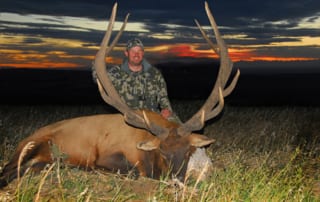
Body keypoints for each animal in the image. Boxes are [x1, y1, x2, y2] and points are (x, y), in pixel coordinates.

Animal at [0, 1, 238, 188]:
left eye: (188, 152)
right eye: (162, 152)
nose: (176, 181)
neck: (144, 147)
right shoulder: (107, 156)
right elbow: (129, 171)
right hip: (32, 146)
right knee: (10, 170)